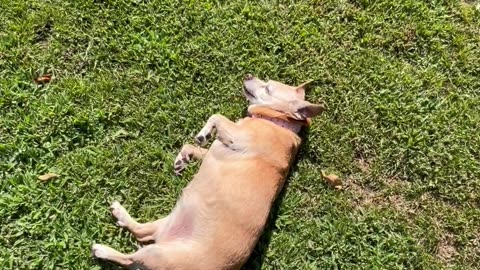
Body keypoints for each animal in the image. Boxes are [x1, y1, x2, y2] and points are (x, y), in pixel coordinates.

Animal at [92, 75, 324, 268]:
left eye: (267, 87)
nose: (249, 74)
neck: (278, 121)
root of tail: (164, 238)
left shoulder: (236, 137)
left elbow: (216, 116)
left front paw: (203, 133)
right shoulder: (218, 145)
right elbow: (192, 146)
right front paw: (182, 158)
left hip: (158, 254)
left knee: (130, 258)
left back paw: (103, 250)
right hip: (163, 226)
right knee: (140, 231)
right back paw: (120, 213)